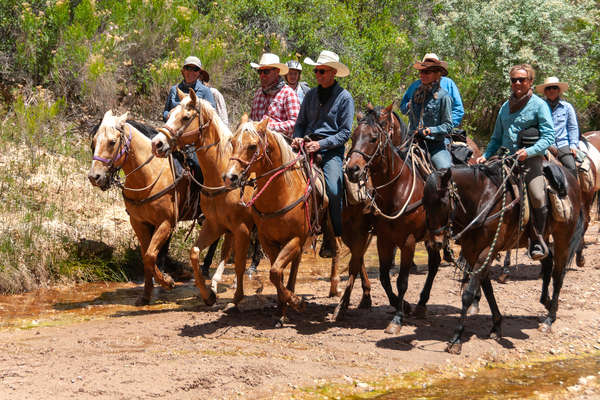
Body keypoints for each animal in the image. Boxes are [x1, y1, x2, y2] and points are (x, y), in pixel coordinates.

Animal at [86, 109, 225, 304]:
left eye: (112, 142)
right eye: (93, 142)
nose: (95, 177)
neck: (148, 175)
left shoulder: (166, 223)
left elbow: (151, 255)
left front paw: (167, 281)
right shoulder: (139, 223)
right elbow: (147, 257)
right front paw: (146, 294)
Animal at [422, 158, 584, 354]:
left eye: (443, 201)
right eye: (424, 203)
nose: (434, 243)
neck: (483, 200)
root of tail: (571, 179)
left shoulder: (487, 251)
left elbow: (468, 293)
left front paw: (456, 339)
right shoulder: (472, 251)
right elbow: (487, 288)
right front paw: (496, 325)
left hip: (563, 237)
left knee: (559, 274)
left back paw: (549, 319)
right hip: (542, 237)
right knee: (547, 262)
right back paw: (546, 301)